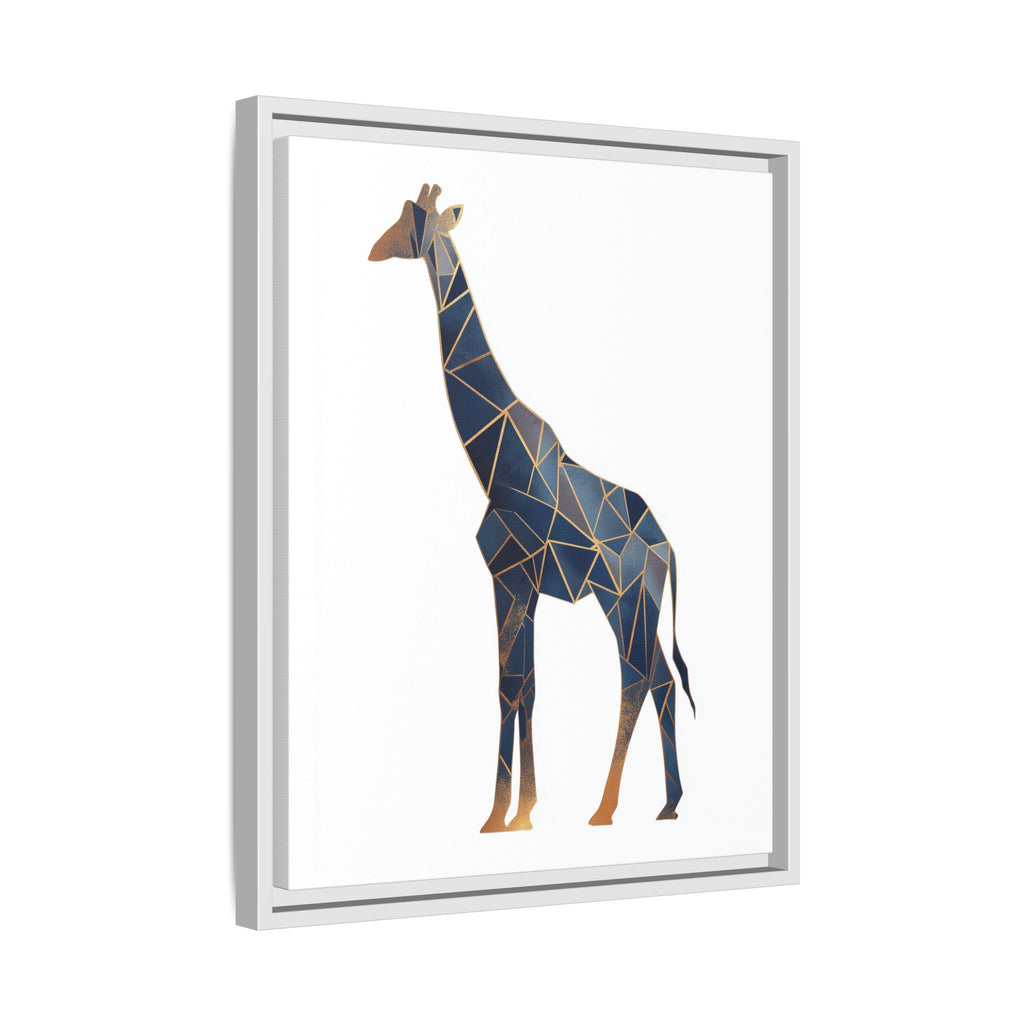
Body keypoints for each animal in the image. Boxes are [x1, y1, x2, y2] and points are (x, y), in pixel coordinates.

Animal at [369, 184, 695, 832]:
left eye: (412, 221)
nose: (374, 249)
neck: (495, 462)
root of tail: (667, 548)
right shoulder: (523, 583)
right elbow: (527, 686)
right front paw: (523, 812)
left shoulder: (509, 575)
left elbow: (508, 685)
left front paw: (499, 816)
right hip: (639, 601)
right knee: (662, 680)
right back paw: (668, 804)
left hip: (620, 597)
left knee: (636, 677)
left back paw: (605, 808)